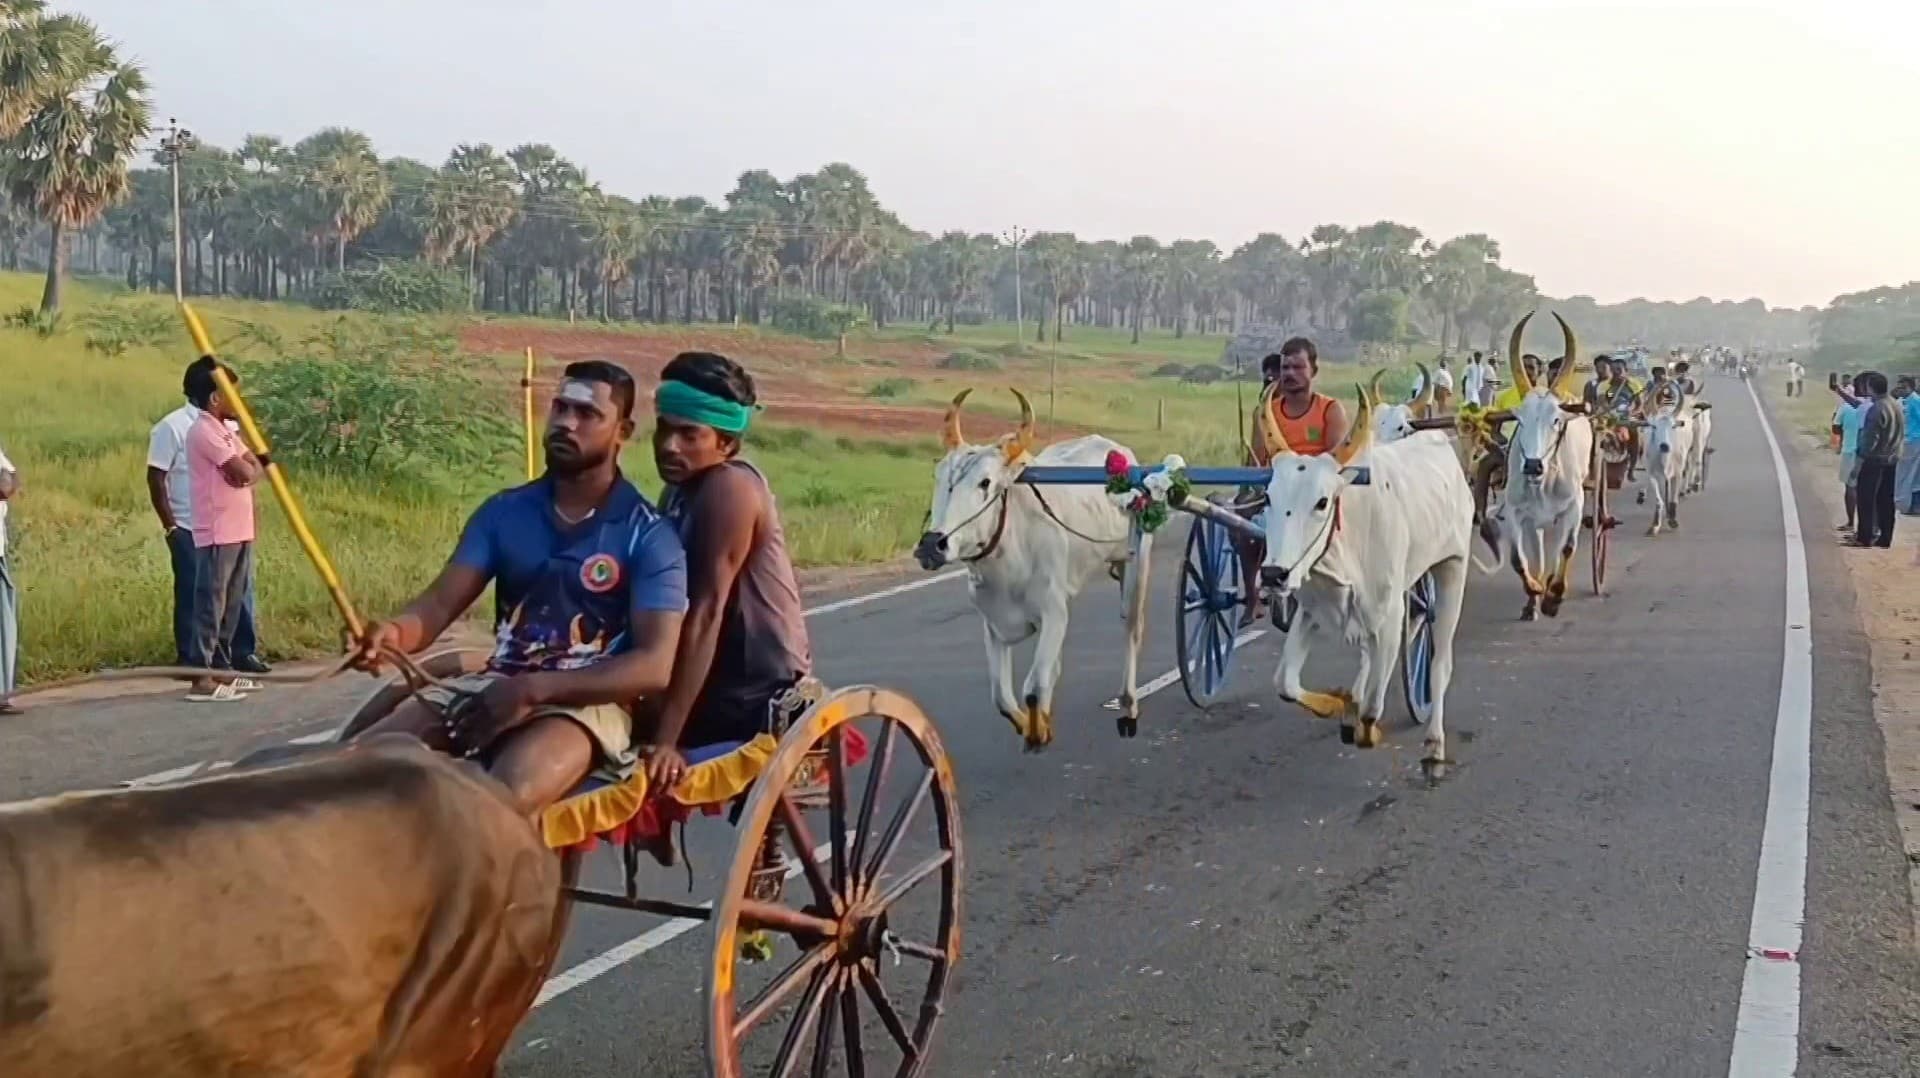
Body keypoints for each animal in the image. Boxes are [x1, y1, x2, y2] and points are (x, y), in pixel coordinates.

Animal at [910, 386, 1144, 749]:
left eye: (985, 482)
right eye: (938, 476)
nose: (932, 545)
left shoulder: (1053, 612)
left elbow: (1034, 685)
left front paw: (1038, 731)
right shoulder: (993, 624)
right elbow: (1002, 695)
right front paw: (1031, 723)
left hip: (1135, 563)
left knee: (1132, 629)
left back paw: (1129, 706)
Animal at [1251, 382, 1474, 776]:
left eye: (1322, 502)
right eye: (1267, 496)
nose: (1274, 575)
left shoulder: (1391, 615)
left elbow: (1373, 707)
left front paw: (1363, 726)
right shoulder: (1311, 612)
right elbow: (1286, 684)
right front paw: (1338, 702)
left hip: (1452, 567)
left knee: (1439, 664)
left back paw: (1434, 743)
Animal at [1482, 307, 1589, 618]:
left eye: (1555, 419)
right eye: (1519, 419)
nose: (1532, 466)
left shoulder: (1574, 507)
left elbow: (1567, 548)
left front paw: (1554, 596)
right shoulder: (1517, 513)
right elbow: (1518, 559)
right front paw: (1535, 590)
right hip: (1534, 524)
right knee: (1538, 557)